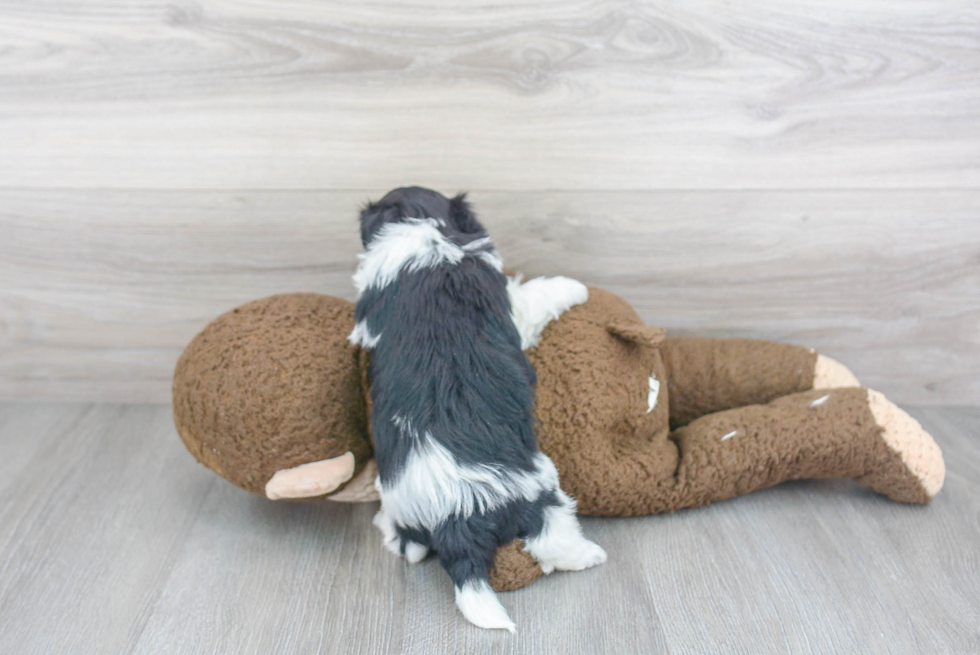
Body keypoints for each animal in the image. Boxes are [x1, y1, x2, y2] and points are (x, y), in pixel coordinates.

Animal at [348, 187, 608, 632]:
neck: (428, 238)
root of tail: (453, 516)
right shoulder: (512, 306)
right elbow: (535, 294)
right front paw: (574, 287)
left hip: (405, 505)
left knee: (410, 544)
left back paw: (393, 533)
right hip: (540, 494)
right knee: (553, 540)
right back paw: (589, 555)